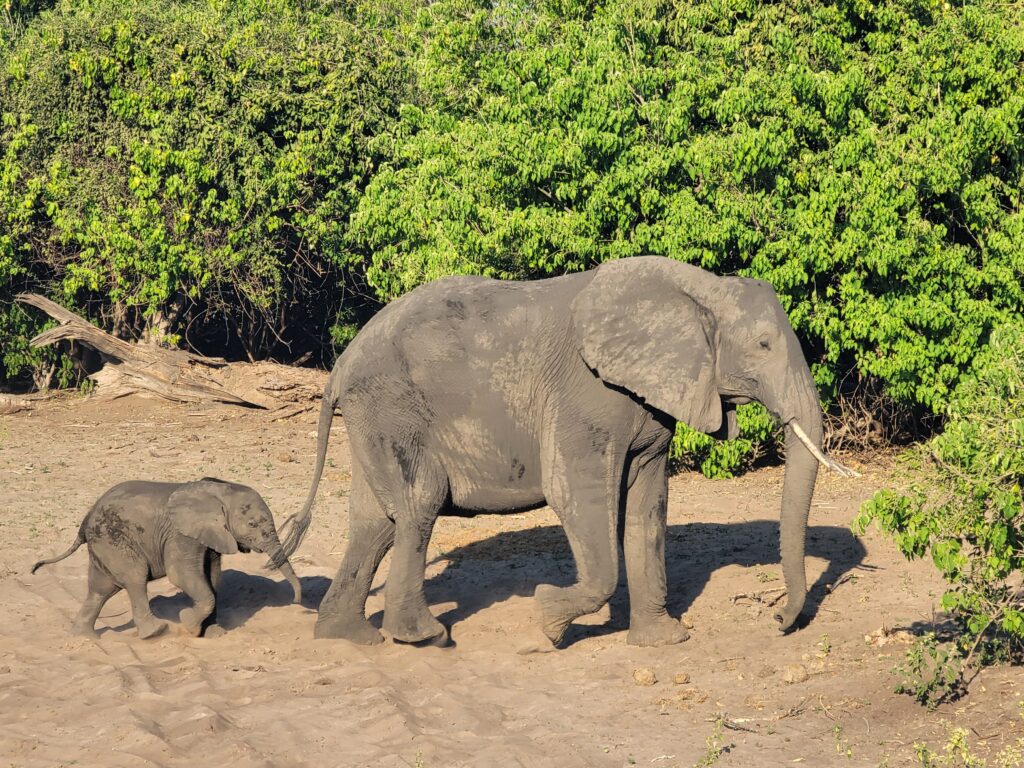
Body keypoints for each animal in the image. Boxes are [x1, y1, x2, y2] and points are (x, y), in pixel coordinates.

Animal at [32, 478, 302, 638]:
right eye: (252, 524)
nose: (297, 601)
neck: (220, 490)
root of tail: (86, 517)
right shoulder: (181, 534)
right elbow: (181, 574)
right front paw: (188, 624)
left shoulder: (211, 537)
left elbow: (212, 579)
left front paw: (213, 633)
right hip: (113, 539)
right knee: (134, 579)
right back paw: (155, 632)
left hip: (103, 544)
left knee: (101, 589)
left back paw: (85, 637)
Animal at [278, 255, 852, 649]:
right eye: (763, 345)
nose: (776, 621)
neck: (699, 287)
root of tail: (340, 367)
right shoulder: (586, 396)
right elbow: (575, 492)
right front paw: (547, 619)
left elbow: (648, 507)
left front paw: (664, 642)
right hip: (394, 407)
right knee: (418, 506)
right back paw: (426, 637)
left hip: (374, 417)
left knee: (376, 521)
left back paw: (348, 637)